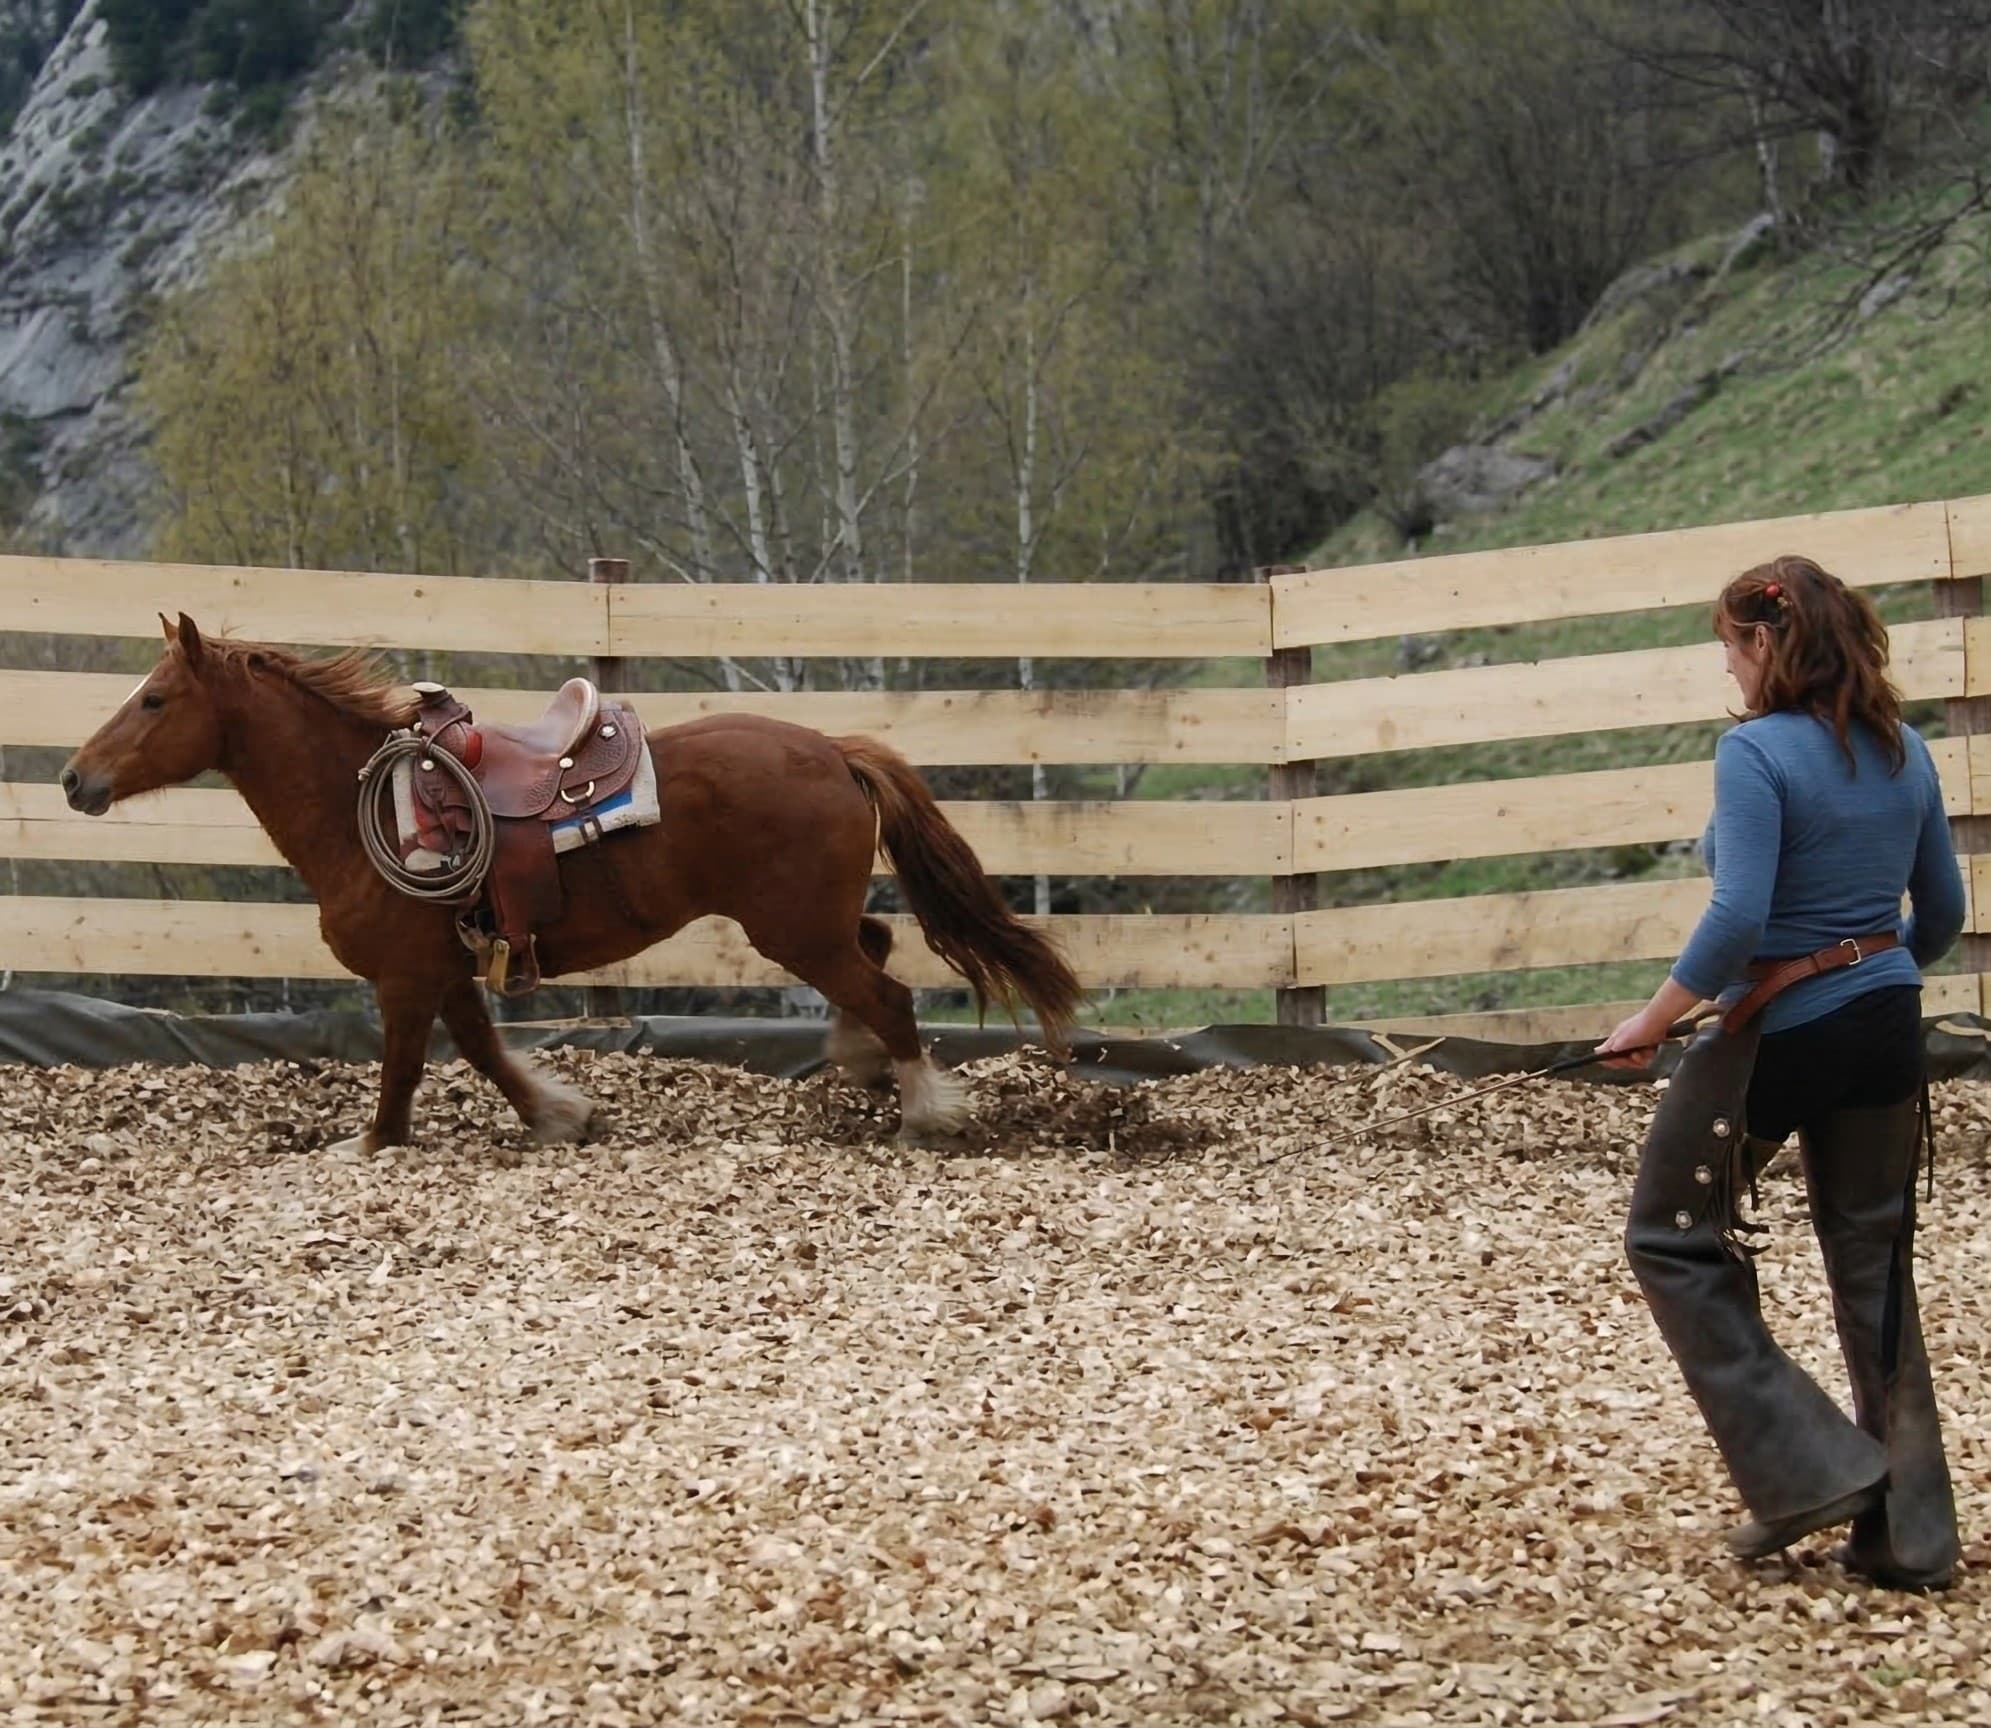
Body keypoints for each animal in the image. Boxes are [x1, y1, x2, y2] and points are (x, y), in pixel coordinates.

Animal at [59, 615, 1084, 1150]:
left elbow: (403, 1072)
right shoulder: (445, 970)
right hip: (810, 923)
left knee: (888, 992)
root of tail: (834, 748)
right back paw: (865, 1066)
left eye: (155, 699)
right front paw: (559, 1113)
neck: (361, 805)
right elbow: (481, 1050)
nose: (75, 779)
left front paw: (371, 1143)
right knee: (872, 957)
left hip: (793, 928)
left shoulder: (403, 978)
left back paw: (924, 1110)